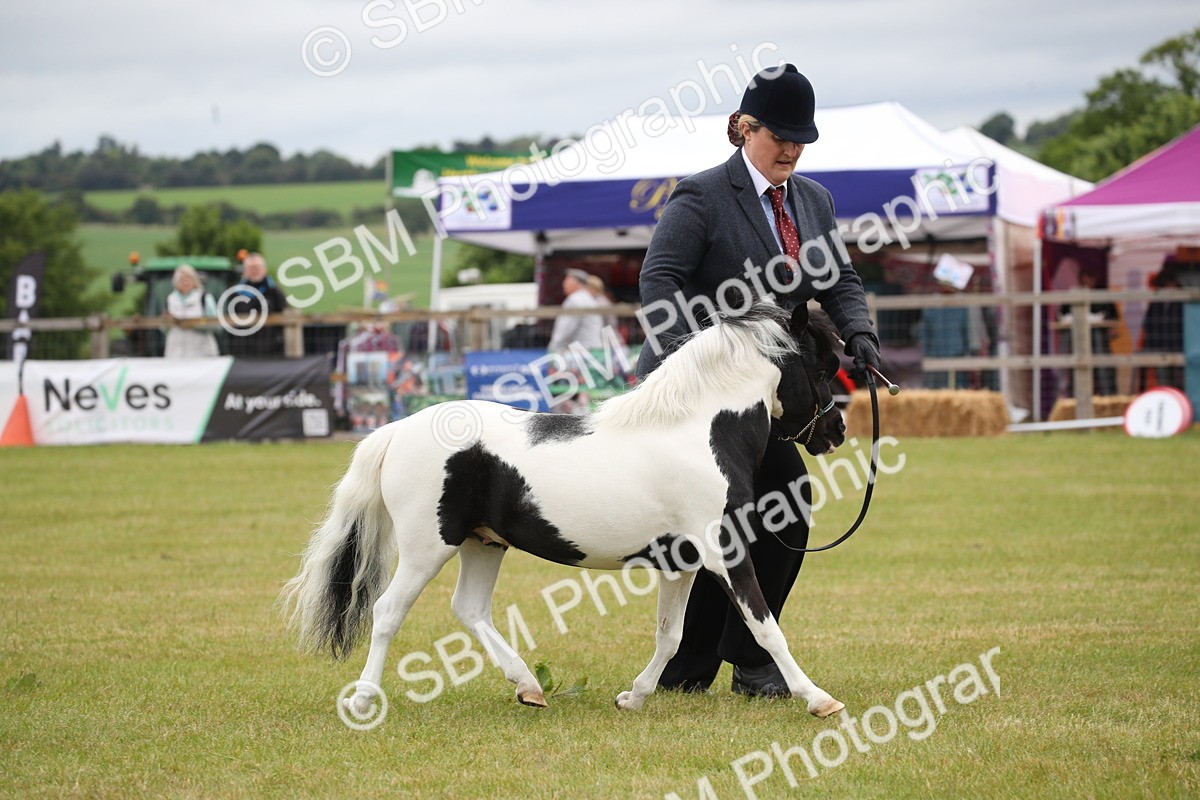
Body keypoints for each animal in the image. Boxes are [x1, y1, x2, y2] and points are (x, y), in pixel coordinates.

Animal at [282, 301, 848, 719]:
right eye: (823, 366)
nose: (837, 430)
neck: (698, 432)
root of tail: (399, 429)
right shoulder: (723, 551)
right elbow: (764, 626)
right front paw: (819, 700)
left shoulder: (682, 562)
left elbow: (670, 635)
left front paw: (633, 697)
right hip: (427, 548)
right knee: (387, 613)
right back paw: (363, 701)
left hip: (483, 544)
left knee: (470, 609)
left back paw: (529, 687)